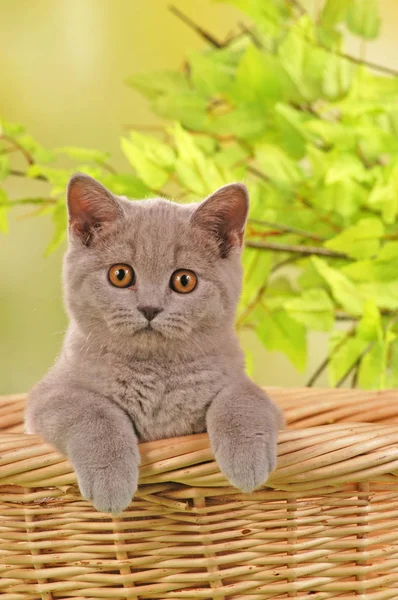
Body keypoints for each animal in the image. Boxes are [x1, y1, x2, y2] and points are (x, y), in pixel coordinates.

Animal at [24, 175, 282, 516]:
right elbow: (94, 411)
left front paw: (247, 459)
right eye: (120, 275)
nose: (149, 308)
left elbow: (241, 398)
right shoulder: (48, 395)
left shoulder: (246, 387)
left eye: (184, 280)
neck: (154, 373)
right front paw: (111, 480)